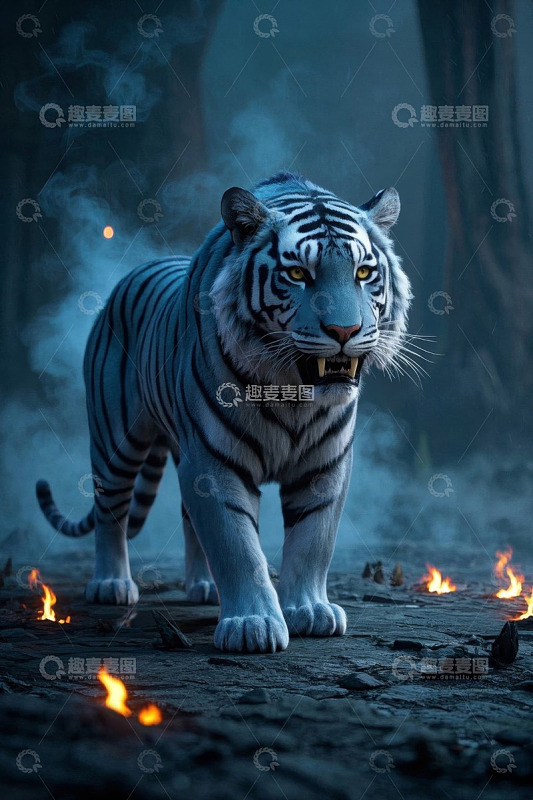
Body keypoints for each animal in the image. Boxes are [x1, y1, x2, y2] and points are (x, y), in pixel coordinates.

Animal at [36, 171, 412, 653]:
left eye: (364, 272)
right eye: (297, 273)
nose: (345, 331)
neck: (293, 392)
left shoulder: (325, 463)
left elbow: (314, 540)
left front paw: (310, 610)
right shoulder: (213, 463)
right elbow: (236, 545)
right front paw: (253, 624)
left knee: (185, 517)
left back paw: (204, 587)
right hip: (115, 439)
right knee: (111, 510)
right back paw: (111, 585)